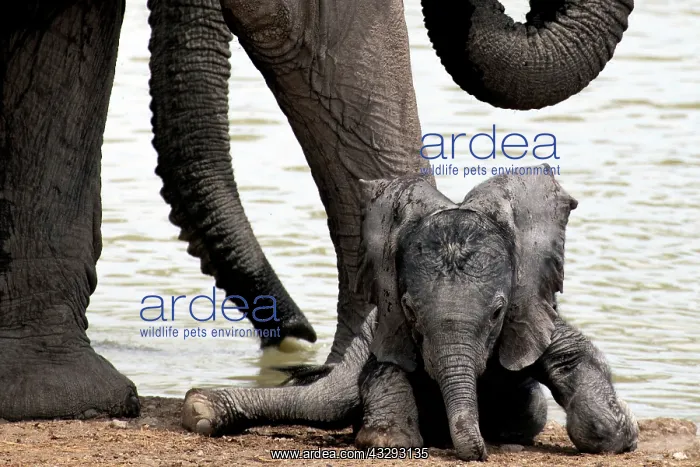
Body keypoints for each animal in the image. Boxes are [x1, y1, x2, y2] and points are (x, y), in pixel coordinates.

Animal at [180, 166, 639, 461]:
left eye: (497, 313)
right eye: (410, 312)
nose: (481, 452)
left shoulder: (533, 316)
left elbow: (584, 379)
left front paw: (624, 431)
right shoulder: (386, 326)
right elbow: (381, 379)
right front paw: (387, 434)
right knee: (325, 401)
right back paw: (201, 410)